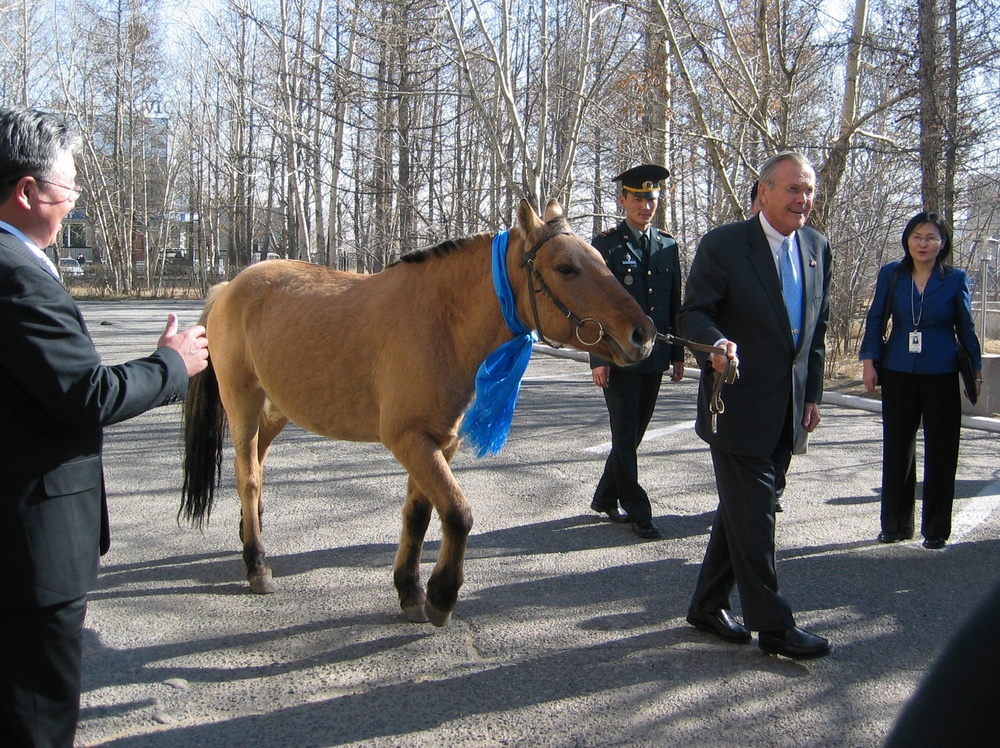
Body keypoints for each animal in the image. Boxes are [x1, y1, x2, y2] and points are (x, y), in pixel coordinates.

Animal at [180, 199, 655, 626]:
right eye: (567, 268)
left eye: (600, 260)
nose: (644, 334)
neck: (441, 322)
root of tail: (229, 287)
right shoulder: (410, 441)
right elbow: (458, 514)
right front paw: (442, 595)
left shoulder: (440, 444)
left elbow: (420, 515)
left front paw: (409, 589)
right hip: (242, 404)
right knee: (249, 478)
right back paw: (256, 564)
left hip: (275, 410)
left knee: (255, 468)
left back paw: (250, 534)